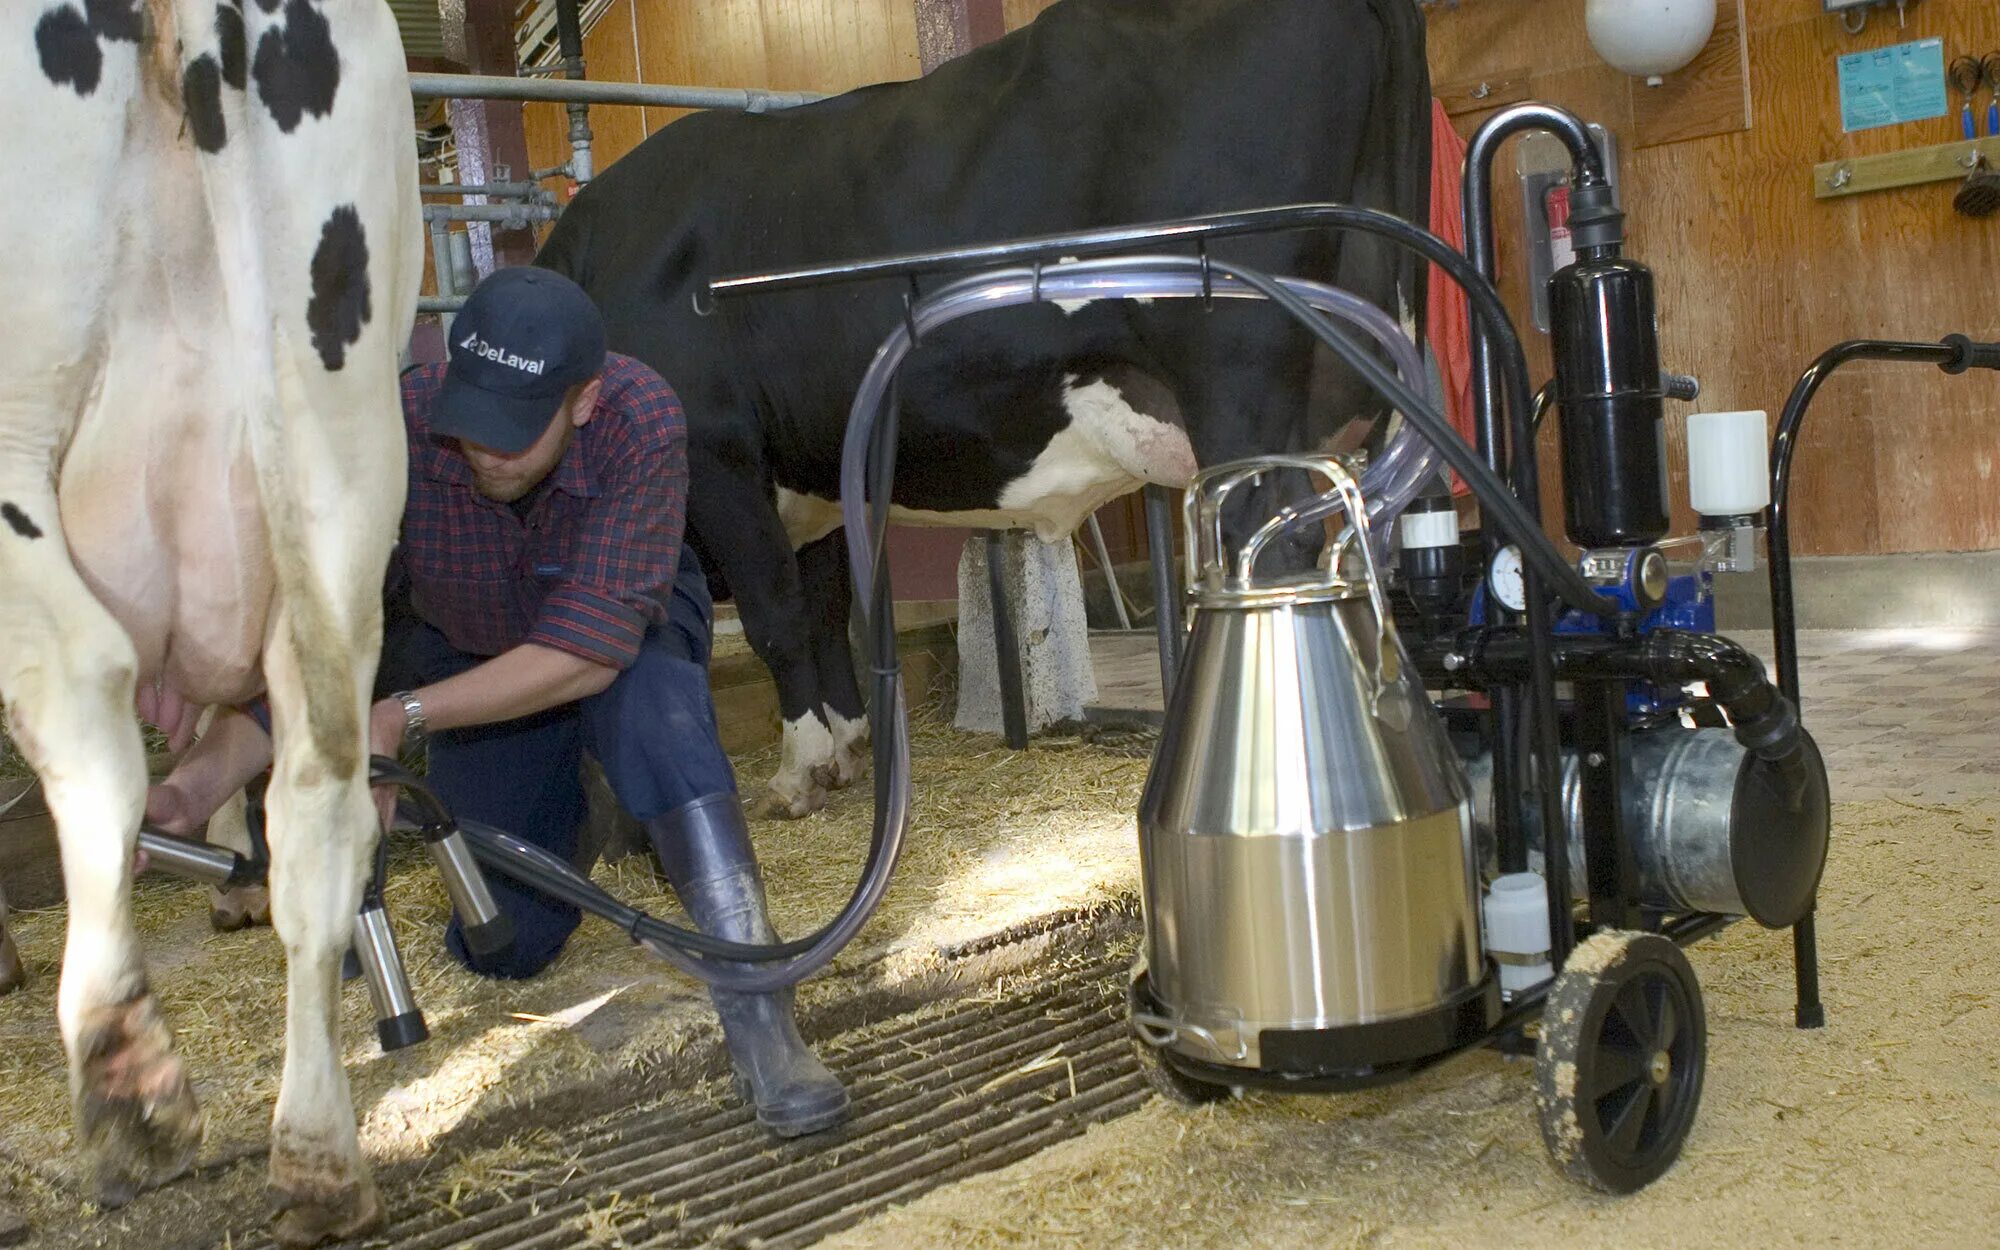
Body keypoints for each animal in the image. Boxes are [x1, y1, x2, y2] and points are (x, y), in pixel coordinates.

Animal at [540, 0, 1432, 820]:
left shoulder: (714, 454)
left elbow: (777, 617)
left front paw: (801, 771)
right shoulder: (813, 474)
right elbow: (827, 613)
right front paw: (851, 748)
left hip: (1237, 384)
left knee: (1270, 544)